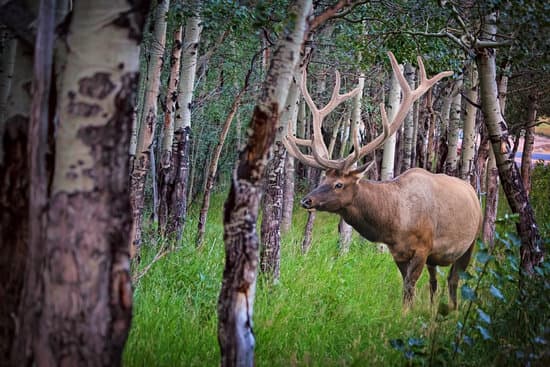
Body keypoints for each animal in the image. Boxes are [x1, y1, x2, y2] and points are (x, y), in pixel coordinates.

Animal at [284, 52, 484, 310]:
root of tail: (474, 193)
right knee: (435, 282)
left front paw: (405, 315)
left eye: (339, 184)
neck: (394, 224)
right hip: (437, 257)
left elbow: (409, 288)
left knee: (453, 280)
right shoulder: (398, 252)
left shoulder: (423, 247)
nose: (307, 200)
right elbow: (406, 288)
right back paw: (433, 311)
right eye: (324, 178)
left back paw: (453, 311)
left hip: (471, 242)